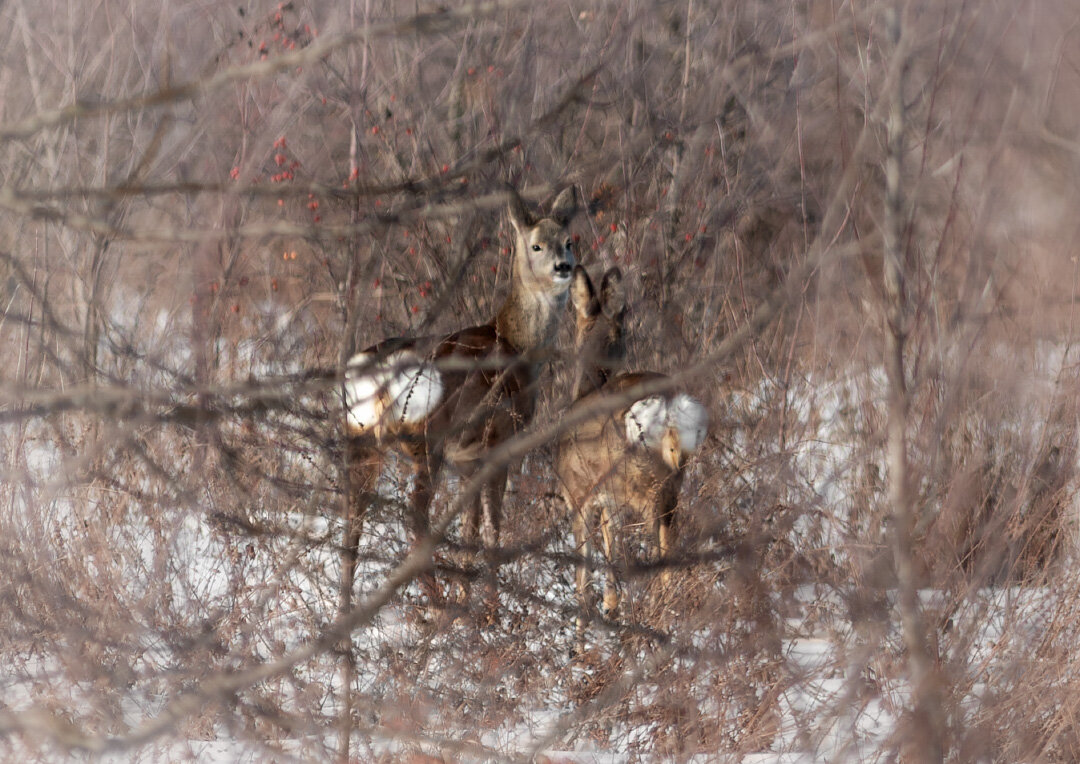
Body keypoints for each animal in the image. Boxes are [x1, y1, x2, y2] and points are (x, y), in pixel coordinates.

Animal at [341, 188, 583, 618]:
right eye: (536, 244)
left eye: (568, 240)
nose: (564, 267)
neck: (518, 347)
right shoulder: (500, 440)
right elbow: (492, 527)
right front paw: (489, 609)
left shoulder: (466, 457)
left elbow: (469, 527)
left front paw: (467, 595)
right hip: (426, 437)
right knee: (414, 516)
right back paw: (435, 603)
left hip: (361, 436)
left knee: (352, 516)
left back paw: (345, 610)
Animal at [557, 265, 708, 644]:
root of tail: (667, 410)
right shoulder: (608, 499)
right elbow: (611, 550)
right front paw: (611, 608)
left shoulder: (578, 495)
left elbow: (585, 570)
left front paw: (580, 639)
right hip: (673, 479)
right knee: (668, 542)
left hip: (639, 479)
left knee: (655, 547)